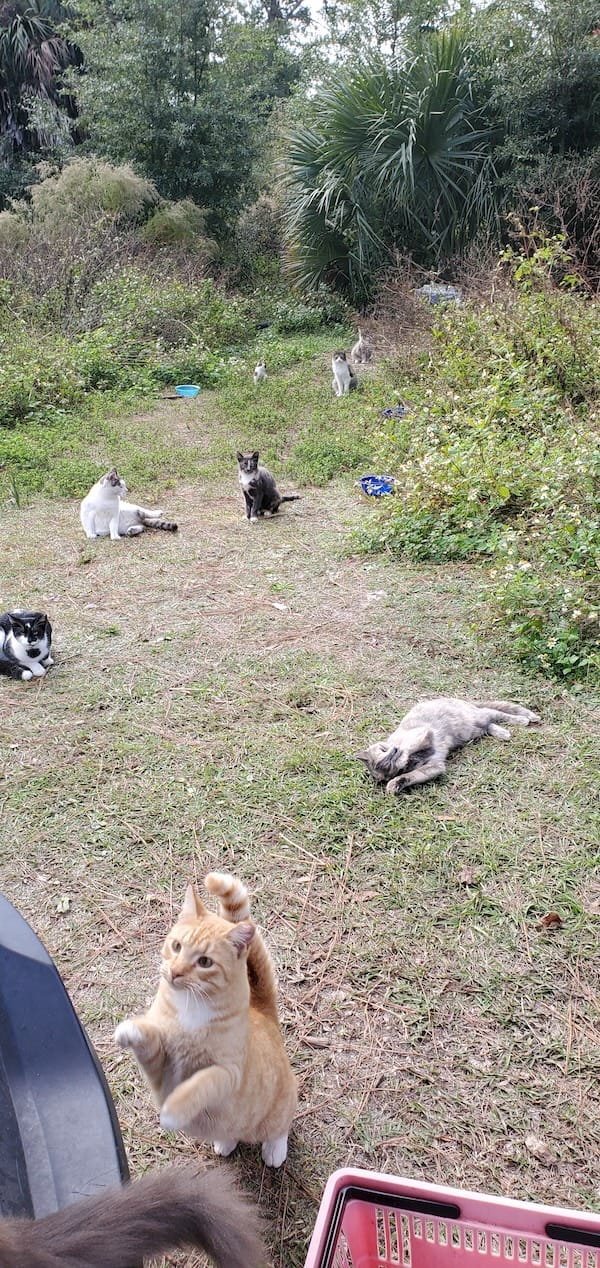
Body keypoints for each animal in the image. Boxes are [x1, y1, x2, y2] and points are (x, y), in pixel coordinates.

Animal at [115, 871, 297, 1168]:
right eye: (176, 946)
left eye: (204, 962)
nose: (175, 972)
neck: (192, 1008)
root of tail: (264, 1012)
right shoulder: (162, 1070)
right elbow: (150, 1040)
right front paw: (131, 1029)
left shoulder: (227, 1073)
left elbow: (201, 1083)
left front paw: (173, 1113)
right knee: (232, 1133)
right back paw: (225, 1142)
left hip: (279, 1108)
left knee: (280, 1127)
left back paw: (274, 1150)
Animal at [356, 697, 541, 794]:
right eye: (386, 767)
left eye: (384, 751)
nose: (394, 753)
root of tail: (466, 702)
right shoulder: (435, 766)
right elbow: (411, 775)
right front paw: (396, 783)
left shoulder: (421, 733)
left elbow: (414, 745)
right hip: (474, 729)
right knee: (489, 724)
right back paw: (503, 733)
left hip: (477, 717)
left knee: (498, 713)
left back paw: (524, 719)